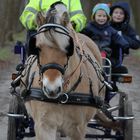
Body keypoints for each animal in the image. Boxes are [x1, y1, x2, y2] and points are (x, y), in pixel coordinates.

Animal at [20, 1, 104, 139]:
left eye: (67, 48)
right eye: (37, 48)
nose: (52, 89)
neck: (62, 97)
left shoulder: (77, 129)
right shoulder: (44, 126)